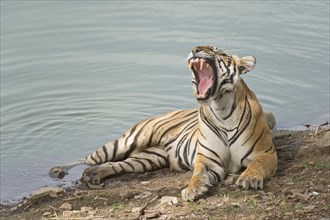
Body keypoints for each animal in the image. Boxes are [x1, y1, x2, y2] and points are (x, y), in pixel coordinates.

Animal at [49, 46, 278, 201]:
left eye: (217, 51)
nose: (195, 49)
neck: (220, 109)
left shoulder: (265, 153)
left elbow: (256, 165)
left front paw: (249, 179)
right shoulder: (207, 159)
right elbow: (197, 174)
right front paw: (192, 189)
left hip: (147, 158)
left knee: (117, 164)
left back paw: (94, 174)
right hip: (127, 142)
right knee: (88, 158)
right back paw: (58, 170)